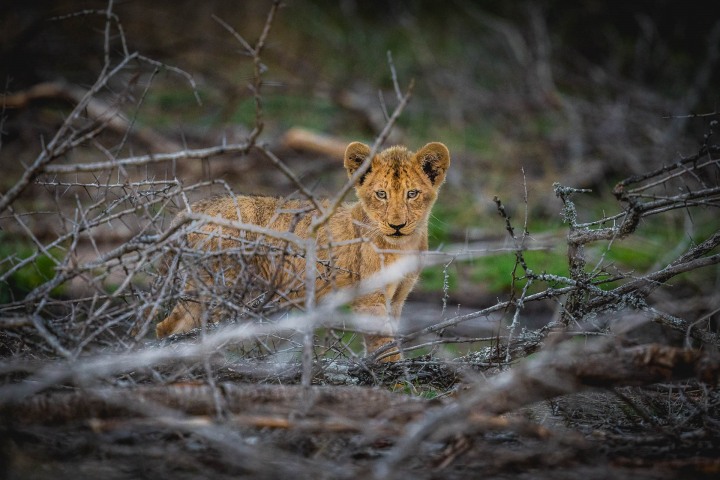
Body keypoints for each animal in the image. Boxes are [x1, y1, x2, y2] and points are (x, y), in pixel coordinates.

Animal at [155, 141, 450, 362]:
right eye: (381, 194)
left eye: (412, 194)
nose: (396, 225)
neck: (402, 246)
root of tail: (193, 210)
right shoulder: (370, 298)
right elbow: (385, 348)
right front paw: (398, 383)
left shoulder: (397, 298)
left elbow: (389, 342)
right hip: (220, 287)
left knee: (168, 328)